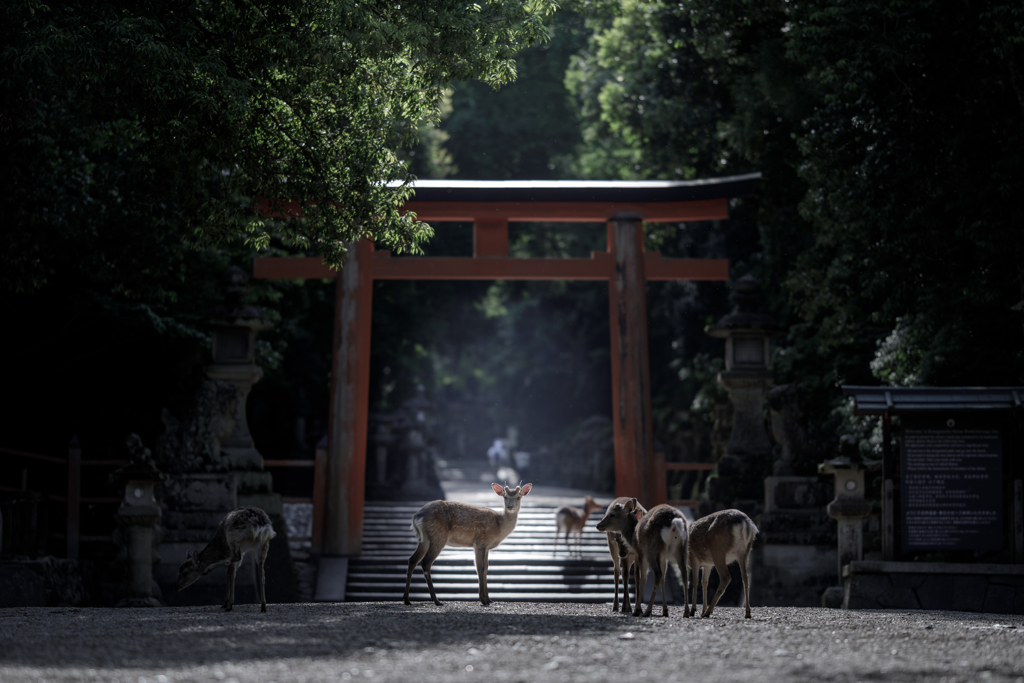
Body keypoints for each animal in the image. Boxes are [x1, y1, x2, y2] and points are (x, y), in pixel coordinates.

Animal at [401, 483, 532, 606]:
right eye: (505, 496)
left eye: (518, 497)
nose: (510, 507)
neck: (498, 527)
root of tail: (417, 516)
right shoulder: (480, 542)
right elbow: (480, 568)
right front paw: (483, 600)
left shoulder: (486, 547)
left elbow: (486, 568)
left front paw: (490, 599)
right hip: (438, 535)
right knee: (426, 562)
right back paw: (436, 600)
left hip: (424, 539)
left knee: (412, 560)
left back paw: (407, 599)